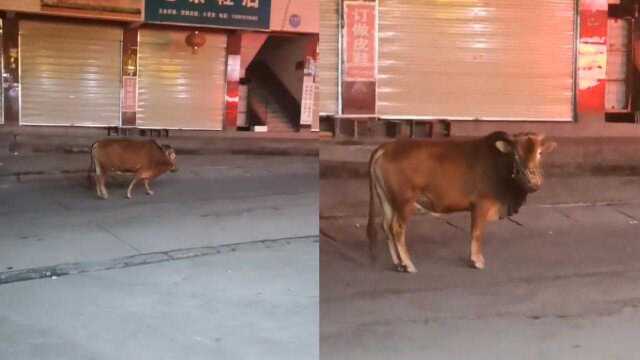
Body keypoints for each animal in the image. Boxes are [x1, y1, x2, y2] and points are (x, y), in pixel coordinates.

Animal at [368, 132, 556, 272]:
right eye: (516, 154)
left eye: (539, 153)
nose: (533, 180)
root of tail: (387, 147)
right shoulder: (481, 204)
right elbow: (477, 233)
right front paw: (477, 260)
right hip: (404, 201)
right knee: (397, 228)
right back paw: (407, 264)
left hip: (387, 199)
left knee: (386, 226)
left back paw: (398, 263)